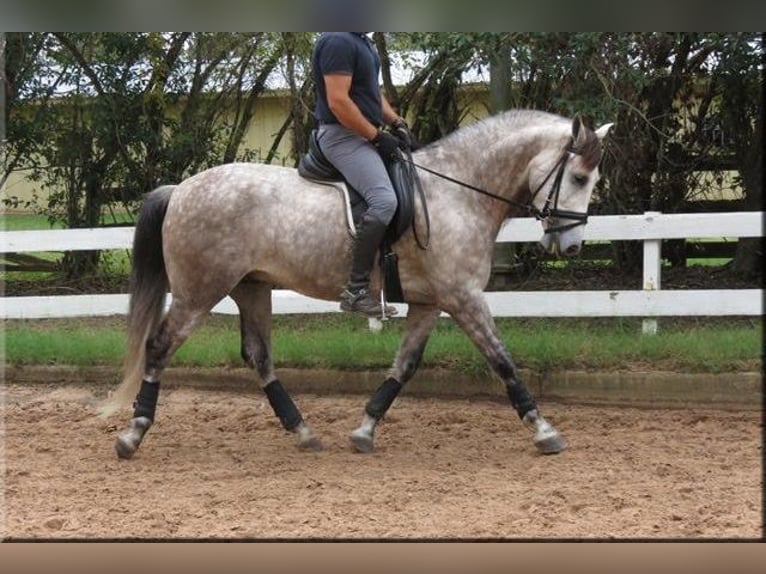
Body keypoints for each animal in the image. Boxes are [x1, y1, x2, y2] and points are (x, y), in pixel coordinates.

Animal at [105, 109, 616, 460]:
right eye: (578, 177)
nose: (572, 245)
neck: (459, 192)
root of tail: (180, 189)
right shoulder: (464, 297)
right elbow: (503, 360)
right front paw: (544, 429)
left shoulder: (431, 303)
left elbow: (405, 366)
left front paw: (365, 429)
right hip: (199, 291)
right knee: (159, 347)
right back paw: (133, 433)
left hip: (251, 287)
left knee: (259, 356)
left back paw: (303, 431)